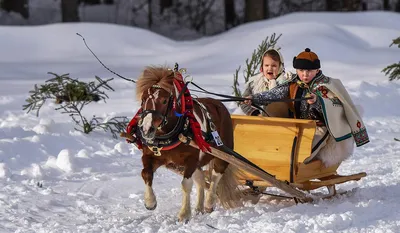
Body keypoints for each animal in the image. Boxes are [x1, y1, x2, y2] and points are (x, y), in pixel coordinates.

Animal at [130, 65, 244, 222]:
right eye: (143, 99)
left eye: (164, 101)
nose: (147, 129)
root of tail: (219, 104)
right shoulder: (152, 156)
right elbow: (146, 173)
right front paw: (150, 202)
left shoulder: (191, 160)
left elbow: (186, 184)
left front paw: (184, 214)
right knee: (201, 179)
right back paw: (199, 207)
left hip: (222, 154)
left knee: (216, 175)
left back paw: (209, 203)